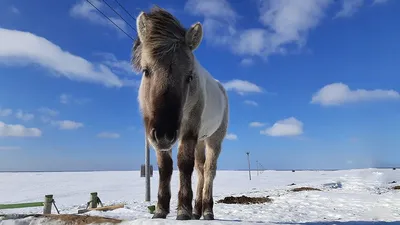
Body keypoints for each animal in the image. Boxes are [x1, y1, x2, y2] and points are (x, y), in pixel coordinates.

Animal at [132, 6, 228, 221]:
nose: (165, 133)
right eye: (146, 70)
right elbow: (164, 167)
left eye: (189, 76)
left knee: (209, 171)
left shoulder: (189, 129)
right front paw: (160, 209)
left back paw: (207, 210)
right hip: (200, 139)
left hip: (214, 139)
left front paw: (183, 209)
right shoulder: (155, 135)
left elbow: (184, 164)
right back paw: (197, 210)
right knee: (200, 170)